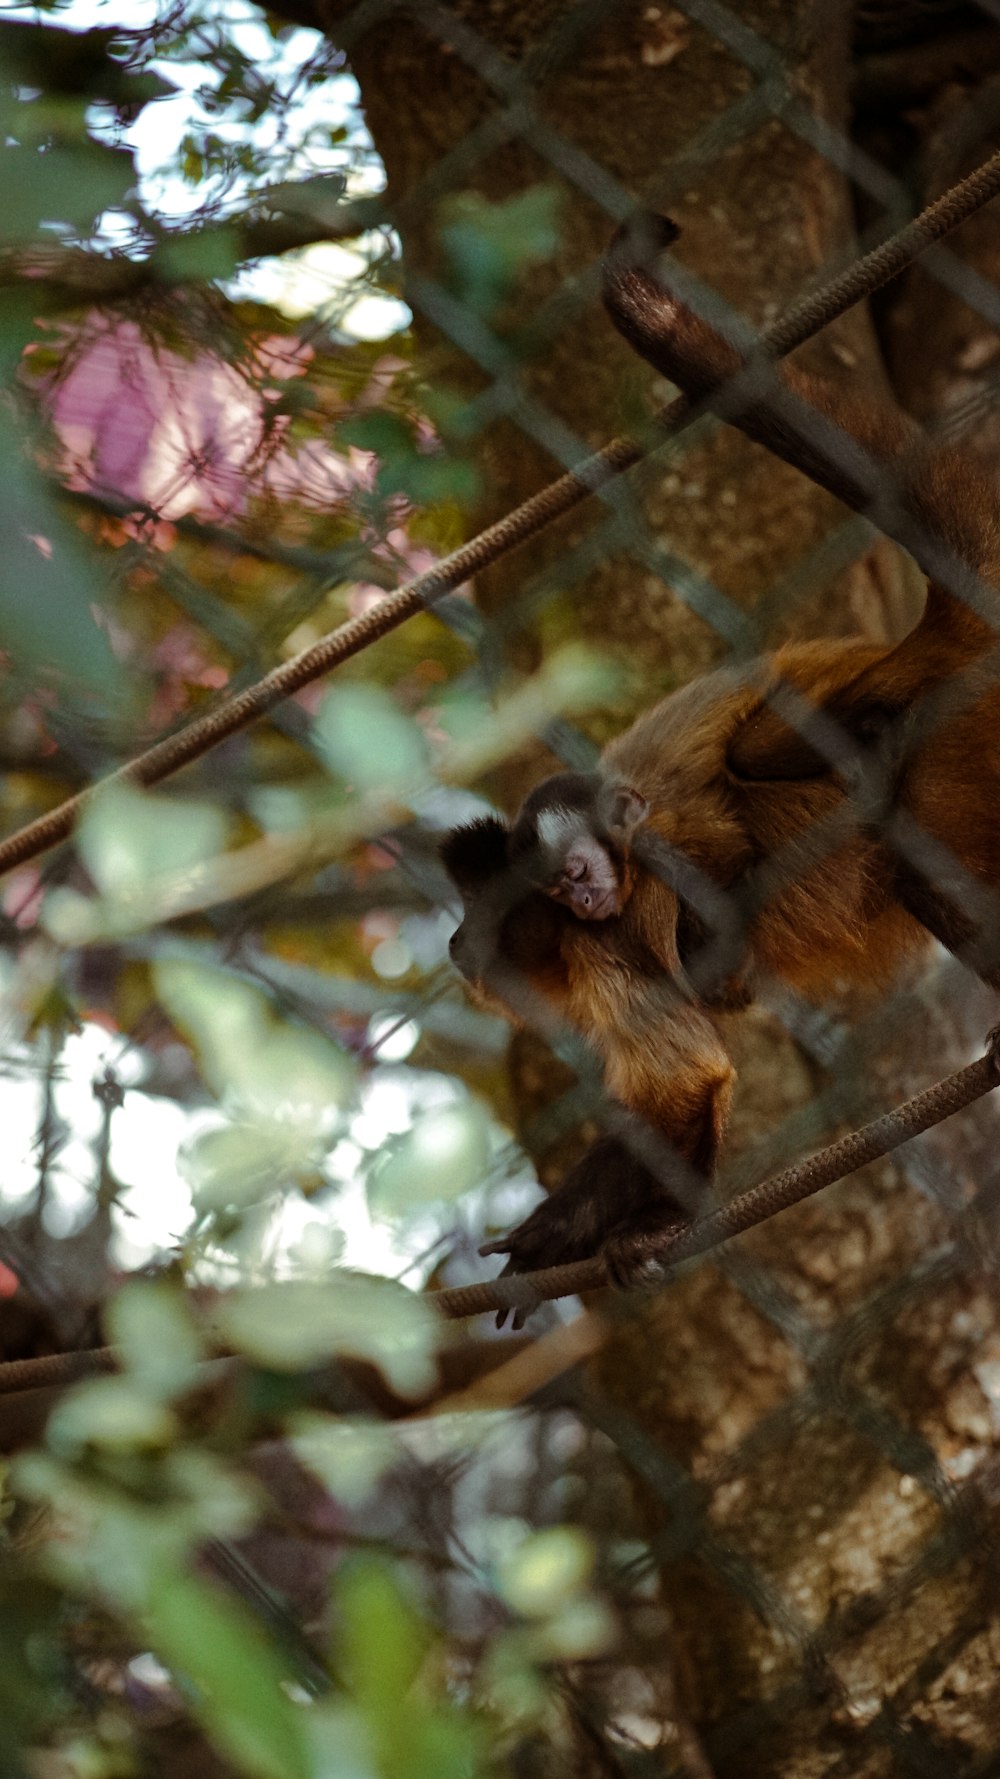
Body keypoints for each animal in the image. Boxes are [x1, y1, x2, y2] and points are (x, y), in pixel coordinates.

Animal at [441, 215, 996, 1309]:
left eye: (477, 916)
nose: (451, 948)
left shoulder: (608, 939)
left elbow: (686, 1081)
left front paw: (638, 1229)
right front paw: (559, 1235)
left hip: (957, 749)